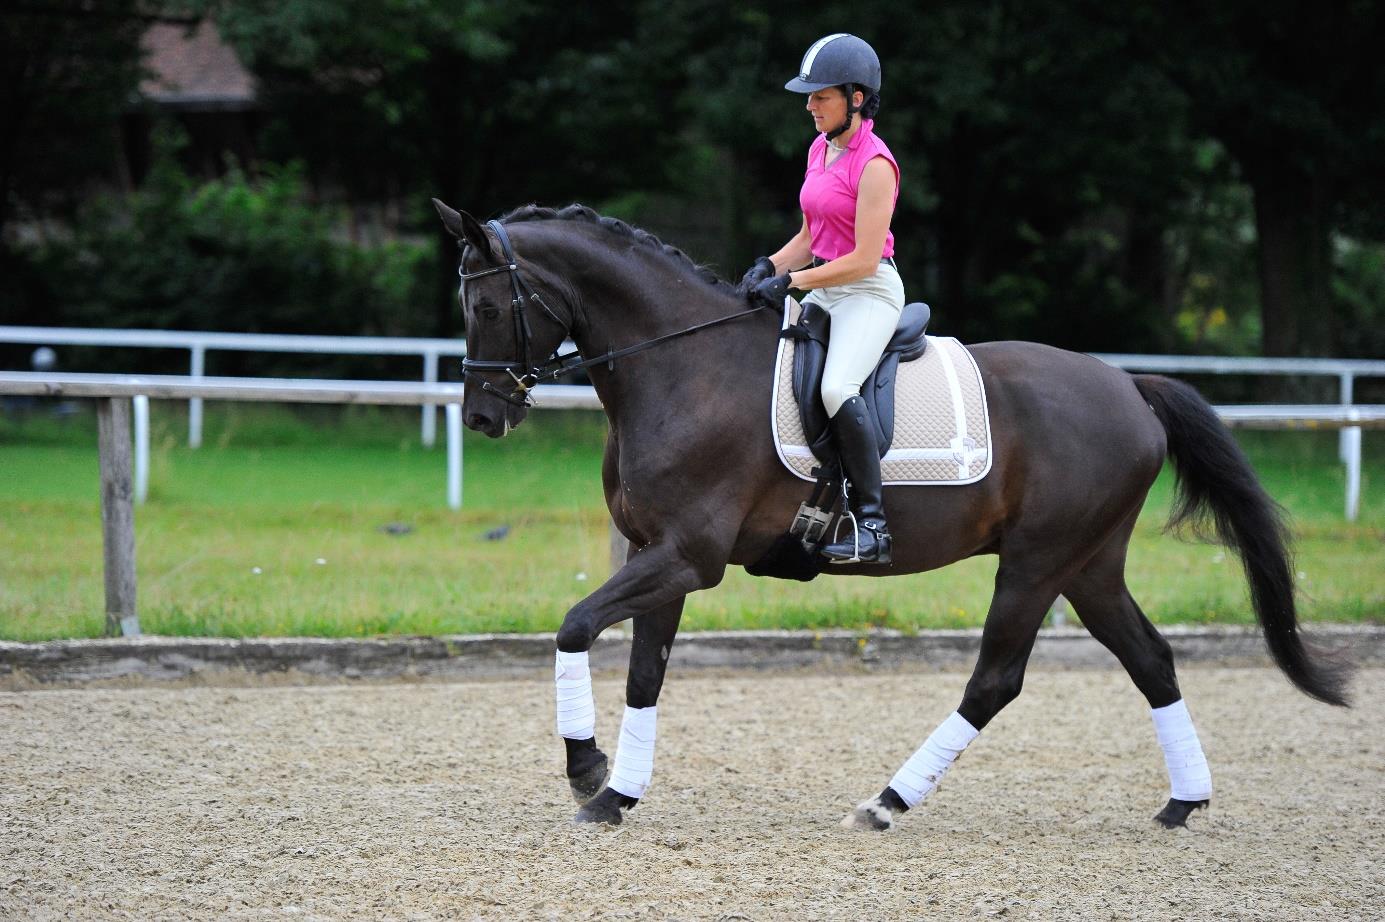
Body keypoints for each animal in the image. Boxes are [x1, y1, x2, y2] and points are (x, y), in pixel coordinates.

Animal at [429, 197, 1340, 830]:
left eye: (486, 309)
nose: (481, 417)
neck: (682, 367)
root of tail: (1127, 385)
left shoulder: (688, 556)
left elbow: (574, 626)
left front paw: (585, 767)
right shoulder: (659, 554)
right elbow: (643, 672)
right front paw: (616, 794)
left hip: (1037, 563)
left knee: (995, 679)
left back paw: (886, 802)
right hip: (1089, 566)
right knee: (1149, 659)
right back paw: (1183, 803)